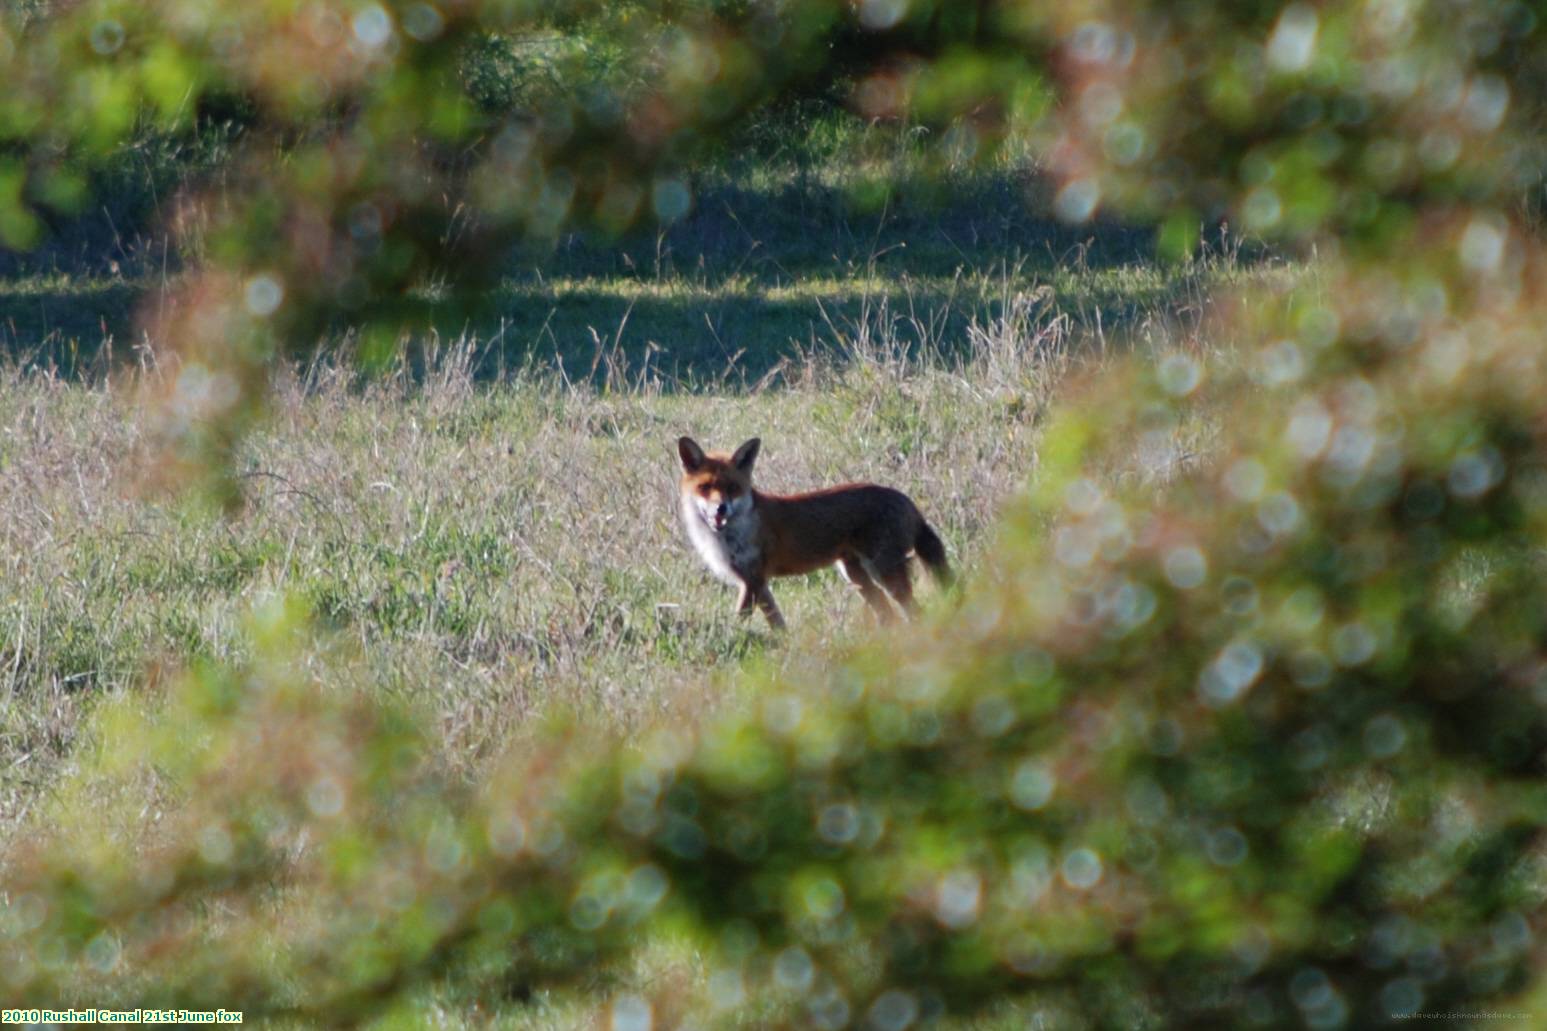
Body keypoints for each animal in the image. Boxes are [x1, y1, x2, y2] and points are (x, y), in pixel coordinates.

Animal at [680, 433, 952, 625]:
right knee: (889, 615)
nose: (721, 509)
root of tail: (908, 501)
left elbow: (739, 620)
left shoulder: (753, 580)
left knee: (914, 612)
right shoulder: (758, 583)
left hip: (884, 573)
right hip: (855, 574)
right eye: (705, 487)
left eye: (732, 488)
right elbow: (778, 625)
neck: (728, 536)